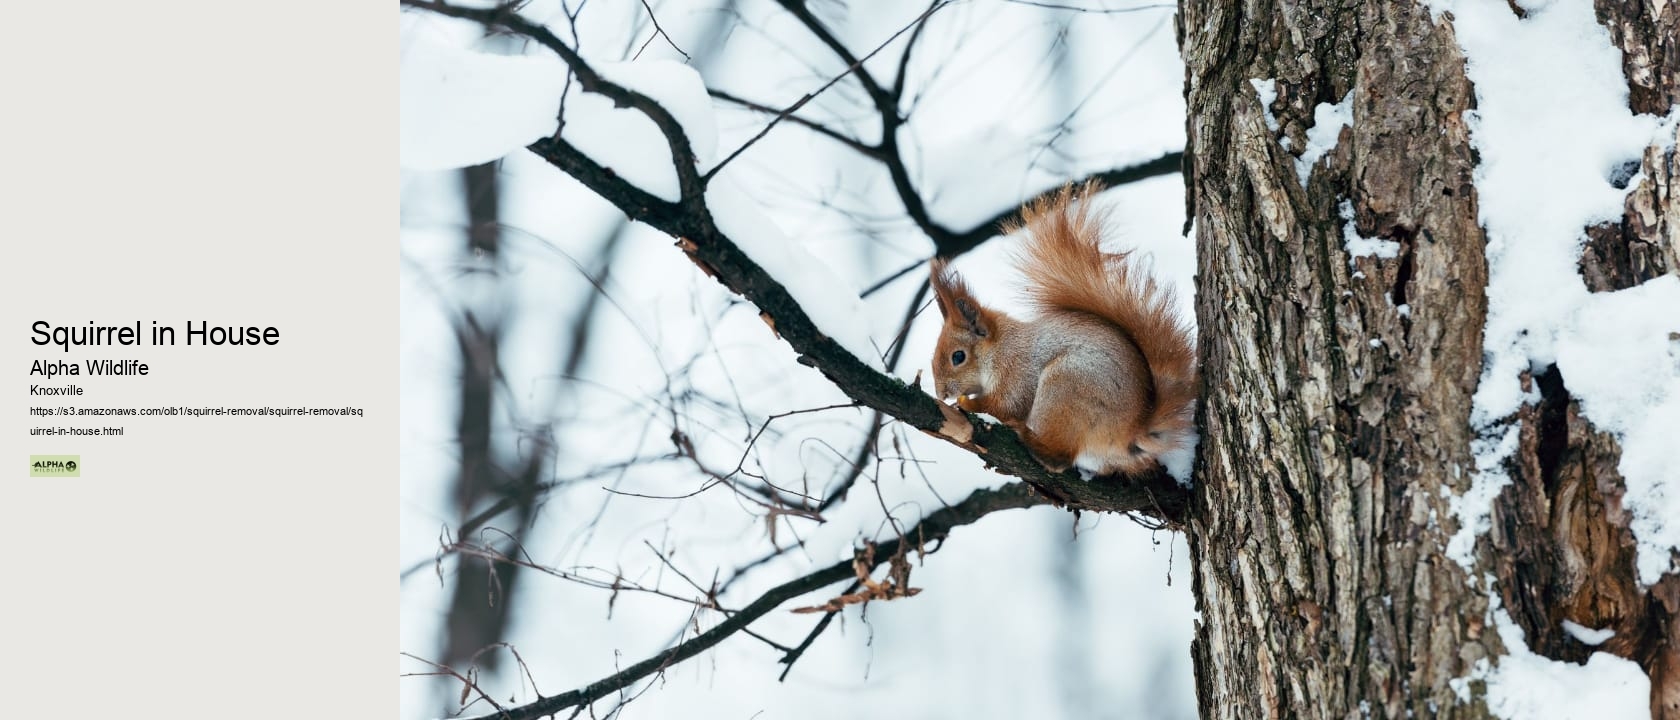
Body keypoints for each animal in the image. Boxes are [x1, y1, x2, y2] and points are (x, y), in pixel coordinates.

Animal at [928, 183, 1198, 480]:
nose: (941, 393)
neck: (999, 347)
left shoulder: (1016, 370)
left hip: (1065, 387)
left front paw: (969, 404)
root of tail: (1131, 432)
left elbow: (1006, 405)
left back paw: (1029, 438)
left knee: (1060, 458)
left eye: (958, 357)